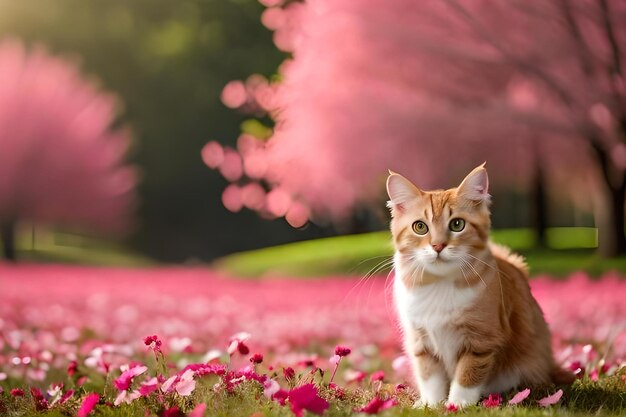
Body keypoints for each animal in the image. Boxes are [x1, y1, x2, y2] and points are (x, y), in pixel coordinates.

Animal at [386, 162, 572, 406]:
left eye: (457, 224)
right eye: (420, 227)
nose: (438, 246)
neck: (440, 285)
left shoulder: (481, 340)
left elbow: (467, 376)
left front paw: (457, 404)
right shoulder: (420, 340)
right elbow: (430, 377)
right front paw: (431, 404)